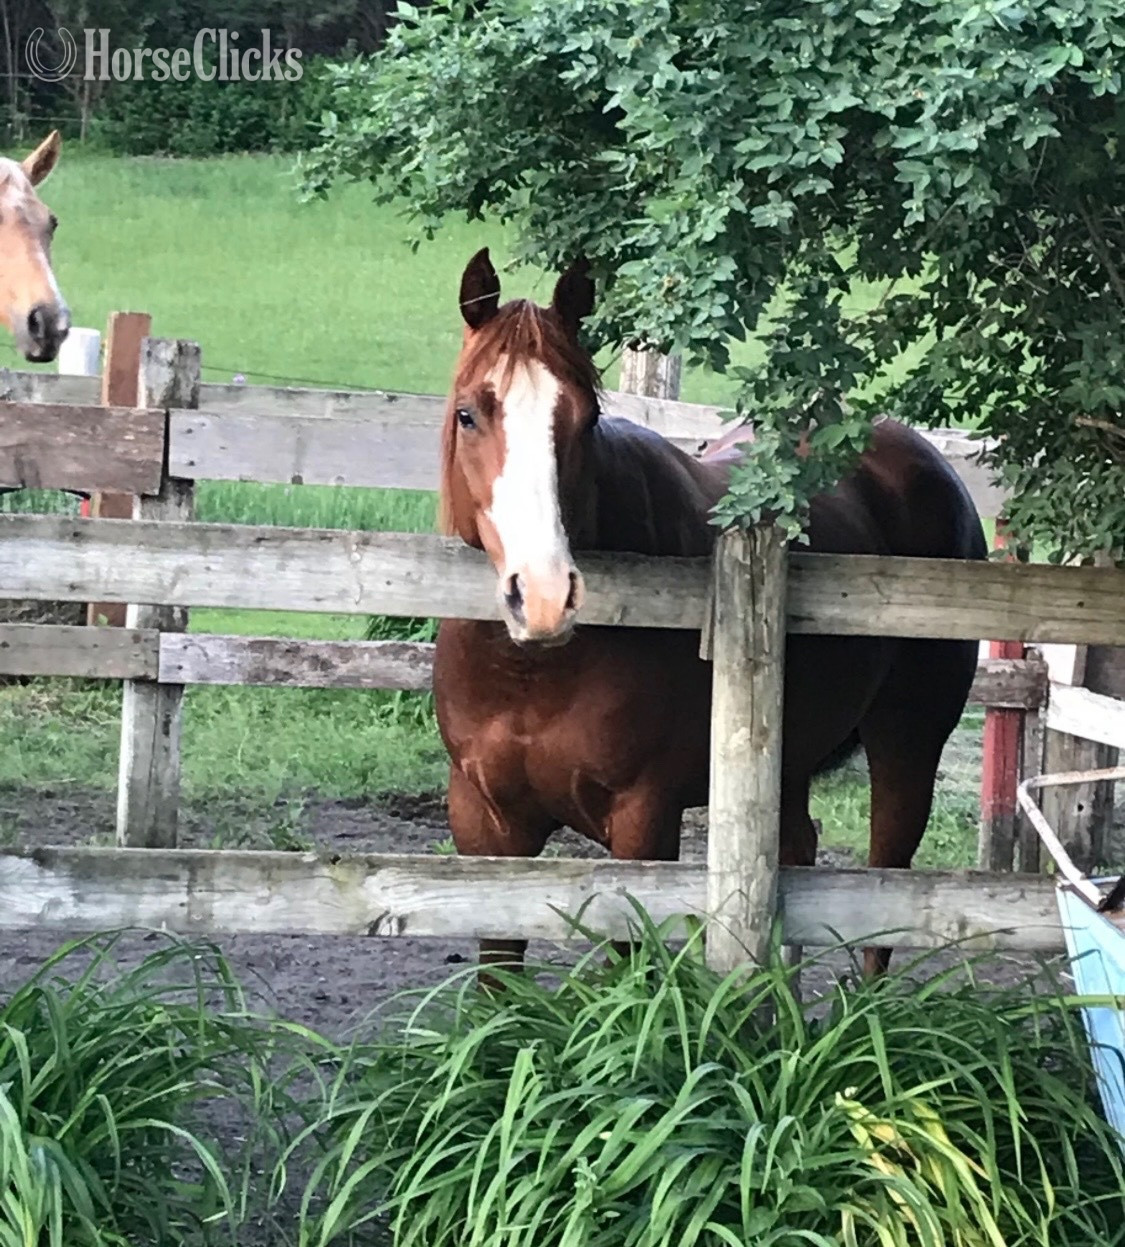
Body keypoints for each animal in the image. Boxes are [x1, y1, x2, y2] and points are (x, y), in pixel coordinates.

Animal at [433, 248, 987, 977]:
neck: (531, 676)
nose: (546, 595)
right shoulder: (486, 825)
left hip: (908, 743)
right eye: (469, 414)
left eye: (586, 418)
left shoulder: (642, 823)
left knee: (884, 891)